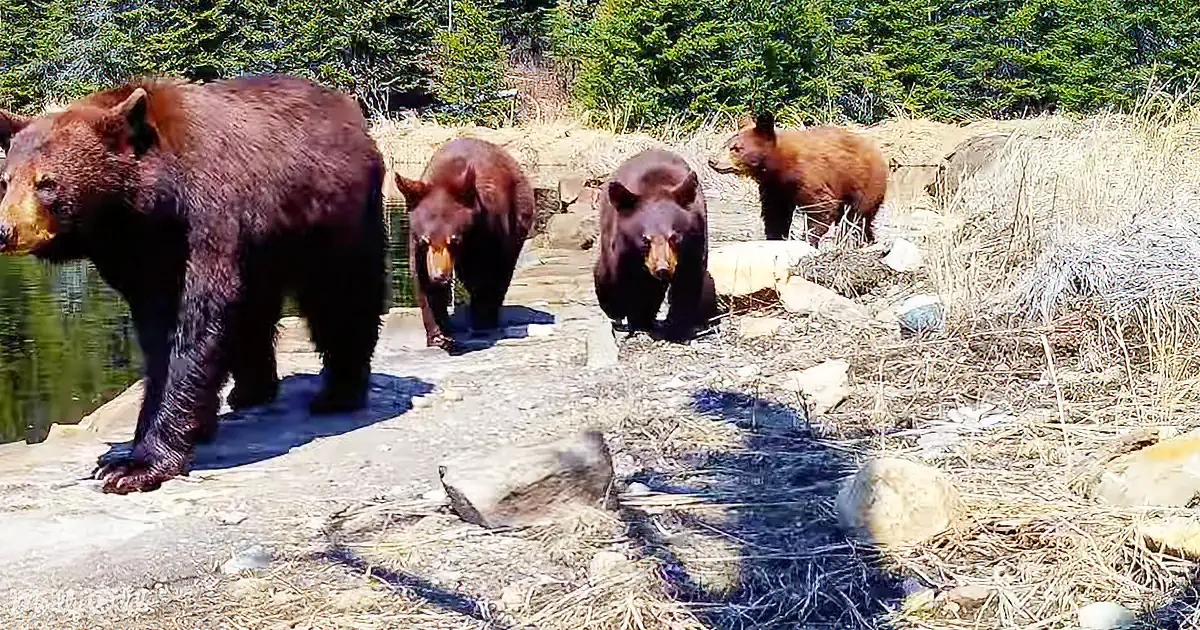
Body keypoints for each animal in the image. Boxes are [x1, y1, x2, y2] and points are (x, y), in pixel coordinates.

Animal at [0, 75, 386, 494]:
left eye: (46, 182)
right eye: (5, 180)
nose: (4, 230)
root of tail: (350, 111)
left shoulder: (207, 222)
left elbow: (194, 325)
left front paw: (136, 464)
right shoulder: (138, 260)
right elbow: (160, 334)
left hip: (335, 222)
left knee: (342, 298)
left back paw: (339, 393)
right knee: (255, 313)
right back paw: (250, 392)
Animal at [393, 138, 535, 350]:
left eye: (454, 239)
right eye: (426, 240)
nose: (440, 276)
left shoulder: (490, 228)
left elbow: (488, 271)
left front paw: (481, 321)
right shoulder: (417, 244)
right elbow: (423, 279)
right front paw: (438, 335)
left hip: (519, 213)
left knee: (500, 271)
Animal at [593, 149, 714, 341]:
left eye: (674, 237)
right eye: (645, 239)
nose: (662, 269)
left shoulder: (695, 243)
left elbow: (688, 281)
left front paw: (677, 327)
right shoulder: (622, 248)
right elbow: (622, 279)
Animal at [708, 111, 888, 246]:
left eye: (736, 148)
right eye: (726, 144)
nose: (712, 161)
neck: (780, 165)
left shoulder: (810, 176)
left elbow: (821, 207)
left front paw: (809, 239)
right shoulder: (774, 187)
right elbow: (775, 213)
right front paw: (776, 236)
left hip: (863, 184)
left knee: (856, 217)